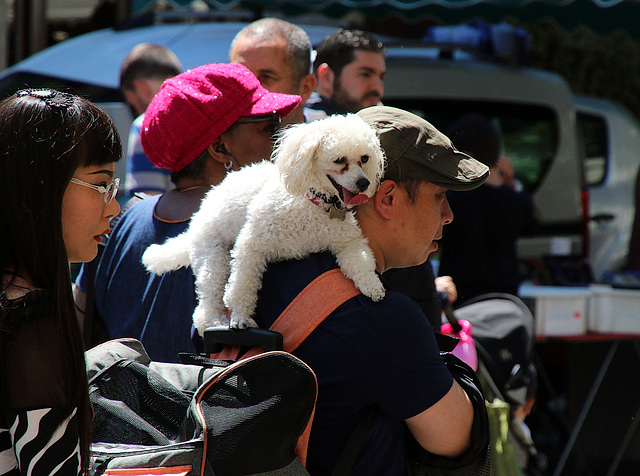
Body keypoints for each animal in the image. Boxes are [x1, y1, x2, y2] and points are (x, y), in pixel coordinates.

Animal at [142, 113, 384, 332]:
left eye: (365, 159)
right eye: (339, 160)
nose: (364, 183)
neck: (314, 202)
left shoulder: (348, 241)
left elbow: (361, 262)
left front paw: (372, 286)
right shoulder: (250, 247)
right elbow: (241, 285)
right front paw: (241, 317)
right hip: (213, 255)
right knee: (207, 303)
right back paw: (213, 322)